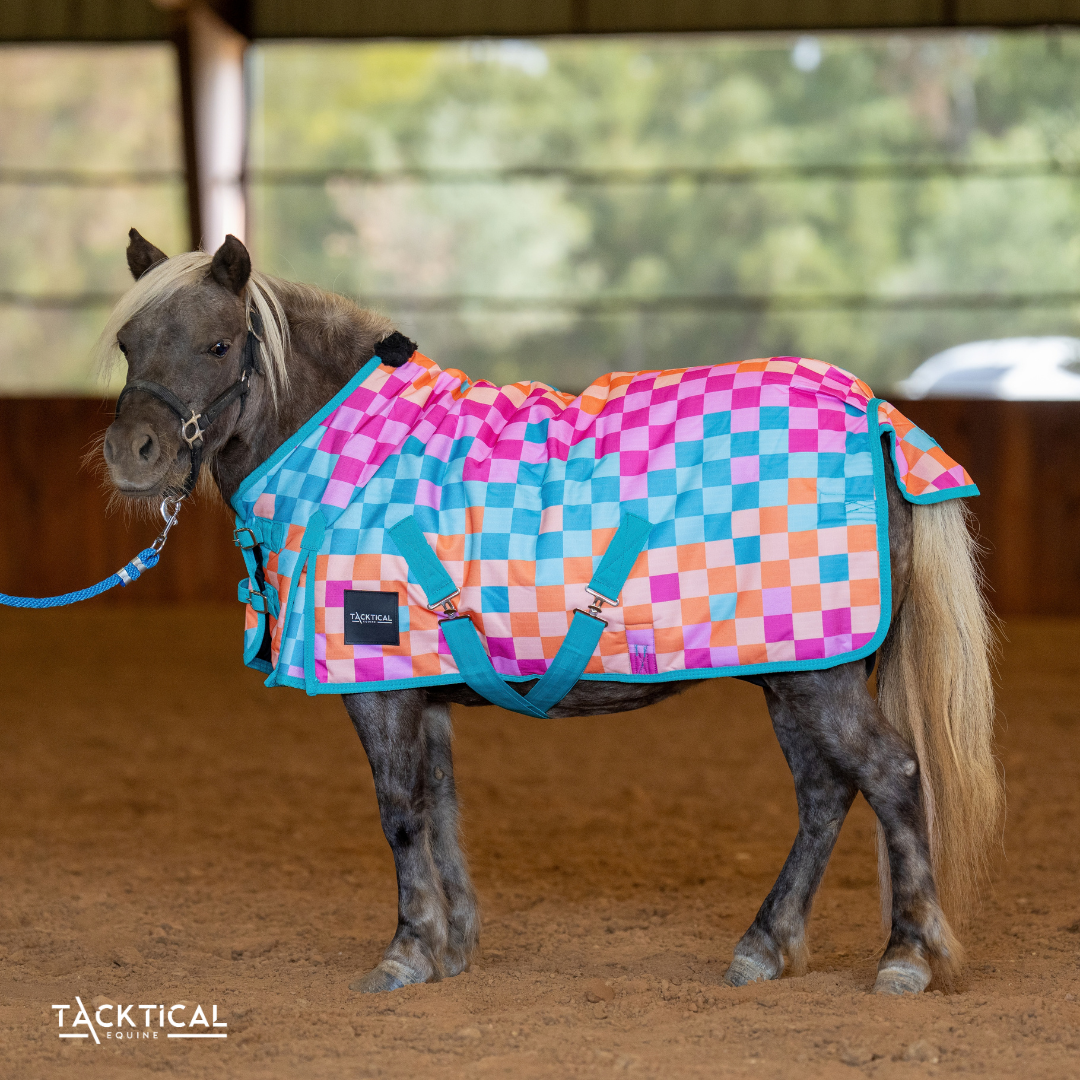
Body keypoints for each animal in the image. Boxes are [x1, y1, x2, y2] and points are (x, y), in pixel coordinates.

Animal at [99, 228, 1001, 996]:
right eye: (127, 344)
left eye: (218, 344)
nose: (133, 453)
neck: (355, 460)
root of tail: (880, 420)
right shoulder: (428, 692)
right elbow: (440, 806)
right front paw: (452, 946)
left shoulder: (379, 686)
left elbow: (399, 814)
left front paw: (406, 952)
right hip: (791, 672)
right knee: (825, 795)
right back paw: (764, 946)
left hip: (821, 678)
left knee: (890, 776)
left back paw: (906, 956)